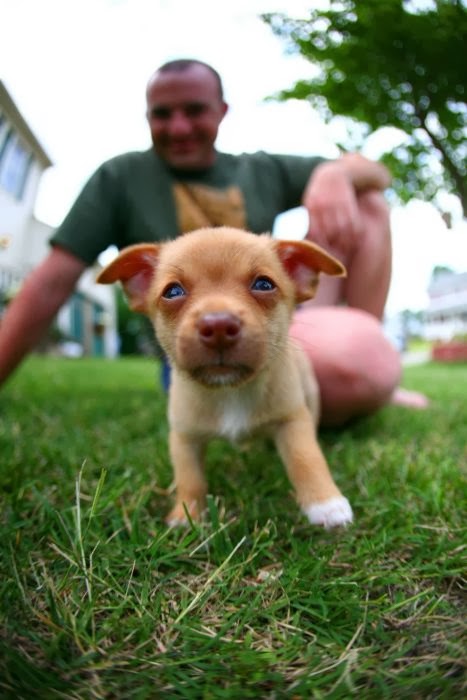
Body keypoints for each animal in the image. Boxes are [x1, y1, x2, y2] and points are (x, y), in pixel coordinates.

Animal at [97, 226, 353, 529]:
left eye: (264, 284)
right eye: (173, 291)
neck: (230, 389)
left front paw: (325, 503)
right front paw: (187, 515)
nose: (218, 325)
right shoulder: (184, 438)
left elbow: (306, 458)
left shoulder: (292, 421)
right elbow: (190, 478)